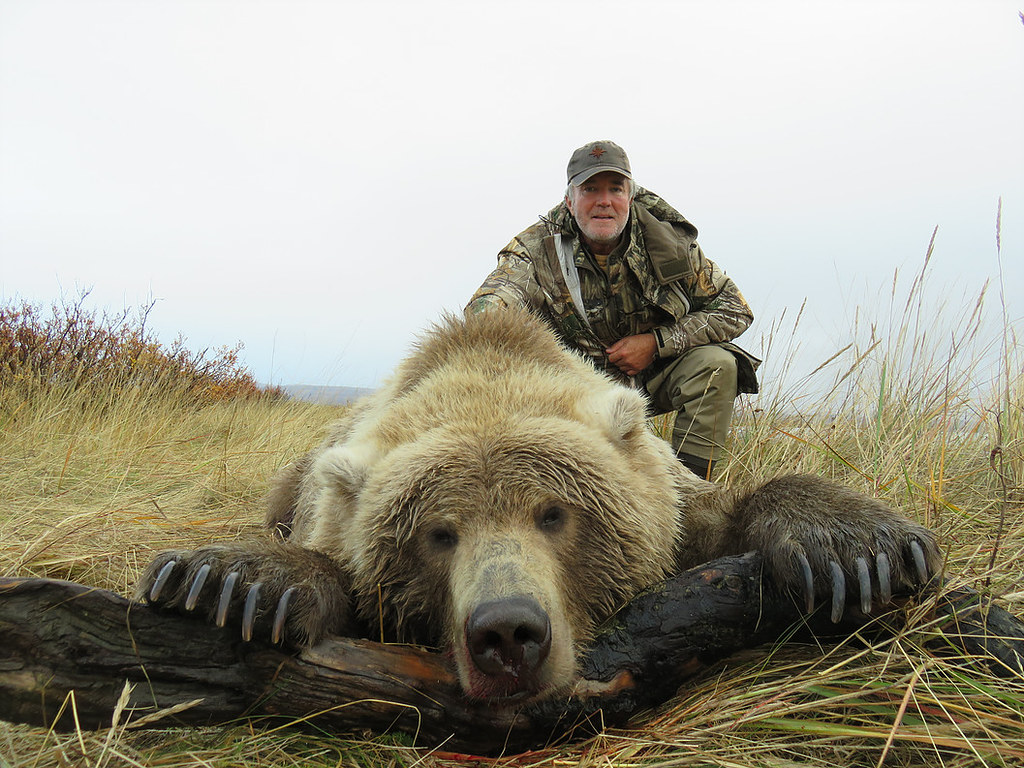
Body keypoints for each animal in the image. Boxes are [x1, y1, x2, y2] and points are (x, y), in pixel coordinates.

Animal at [139, 308, 941, 702]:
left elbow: (725, 509)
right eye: (438, 533)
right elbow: (316, 561)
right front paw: (235, 581)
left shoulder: (669, 498)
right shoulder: (333, 507)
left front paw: (855, 548)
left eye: (555, 514)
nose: (507, 633)